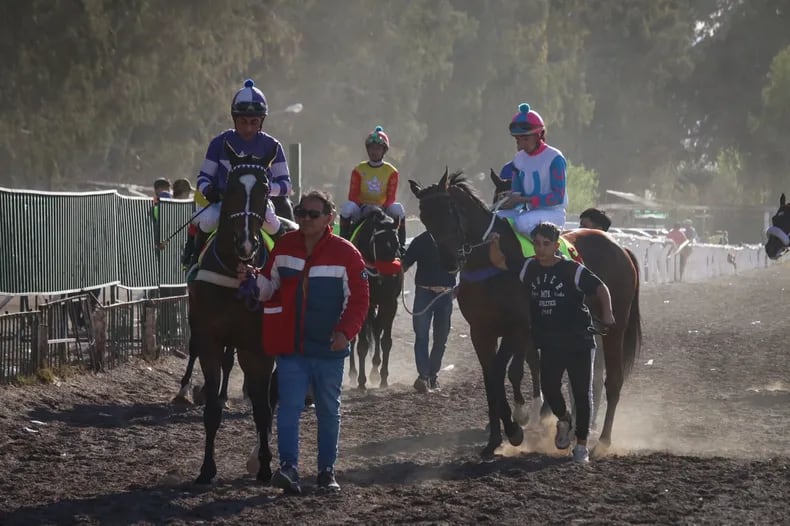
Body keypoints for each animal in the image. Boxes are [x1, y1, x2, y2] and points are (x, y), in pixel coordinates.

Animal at [189, 143, 278, 486]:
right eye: (231, 189)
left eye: (265, 188)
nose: (246, 243)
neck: (236, 272)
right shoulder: (209, 340)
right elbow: (213, 409)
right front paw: (206, 468)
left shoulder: (259, 346)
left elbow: (264, 409)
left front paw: (264, 466)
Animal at [350, 208, 406, 390]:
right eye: (378, 243)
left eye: (396, 243)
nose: (389, 274)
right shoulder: (364, 304)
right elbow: (362, 344)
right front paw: (361, 381)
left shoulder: (390, 303)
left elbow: (385, 340)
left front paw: (383, 378)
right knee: (354, 338)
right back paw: (353, 374)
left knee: (376, 329)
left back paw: (374, 370)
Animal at [408, 171, 644, 460]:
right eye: (425, 217)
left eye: (449, 210)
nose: (450, 261)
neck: (490, 264)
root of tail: (620, 248)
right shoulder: (481, 331)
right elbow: (491, 376)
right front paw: (495, 439)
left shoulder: (518, 327)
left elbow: (507, 370)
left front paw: (515, 426)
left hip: (615, 327)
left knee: (613, 381)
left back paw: (602, 441)